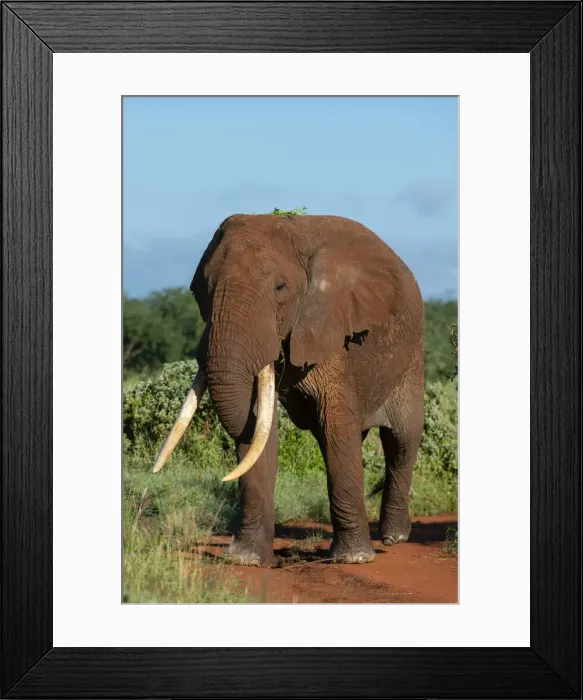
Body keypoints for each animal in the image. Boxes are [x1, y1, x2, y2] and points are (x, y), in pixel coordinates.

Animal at [152, 214, 424, 567]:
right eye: (200, 290)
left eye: (279, 288)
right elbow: (257, 426)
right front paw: (247, 560)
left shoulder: (329, 326)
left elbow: (335, 424)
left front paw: (353, 559)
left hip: (411, 355)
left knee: (402, 439)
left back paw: (394, 537)